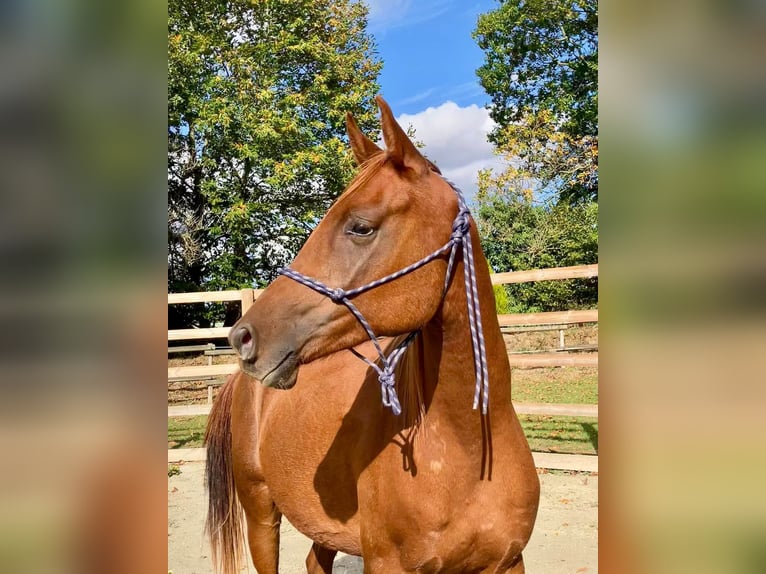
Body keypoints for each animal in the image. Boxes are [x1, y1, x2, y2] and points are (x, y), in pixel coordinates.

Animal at [205, 96, 540, 574]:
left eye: (360, 226)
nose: (244, 338)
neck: (468, 456)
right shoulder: (385, 563)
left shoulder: (509, 563)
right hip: (261, 513)